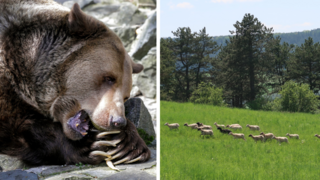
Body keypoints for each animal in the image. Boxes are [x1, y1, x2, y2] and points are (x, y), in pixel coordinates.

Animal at [0, 0, 151, 166]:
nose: (117, 121)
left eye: (126, 96)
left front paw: (128, 145)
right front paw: (91, 144)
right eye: (109, 78)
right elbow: (18, 121)